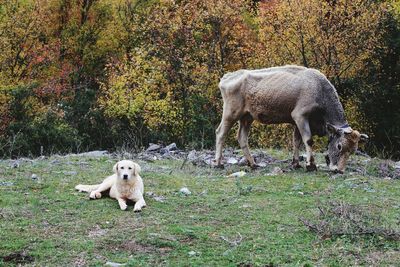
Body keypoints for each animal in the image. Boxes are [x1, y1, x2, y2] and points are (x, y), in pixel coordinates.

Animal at [214, 66, 368, 173]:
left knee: (242, 137)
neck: (319, 89)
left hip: (247, 117)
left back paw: (253, 164)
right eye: (339, 146)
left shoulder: (297, 122)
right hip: (231, 113)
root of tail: (228, 76)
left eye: (353, 151)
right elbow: (308, 140)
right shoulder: (300, 115)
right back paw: (218, 163)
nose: (339, 170)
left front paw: (296, 163)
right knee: (220, 133)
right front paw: (311, 165)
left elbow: (297, 141)